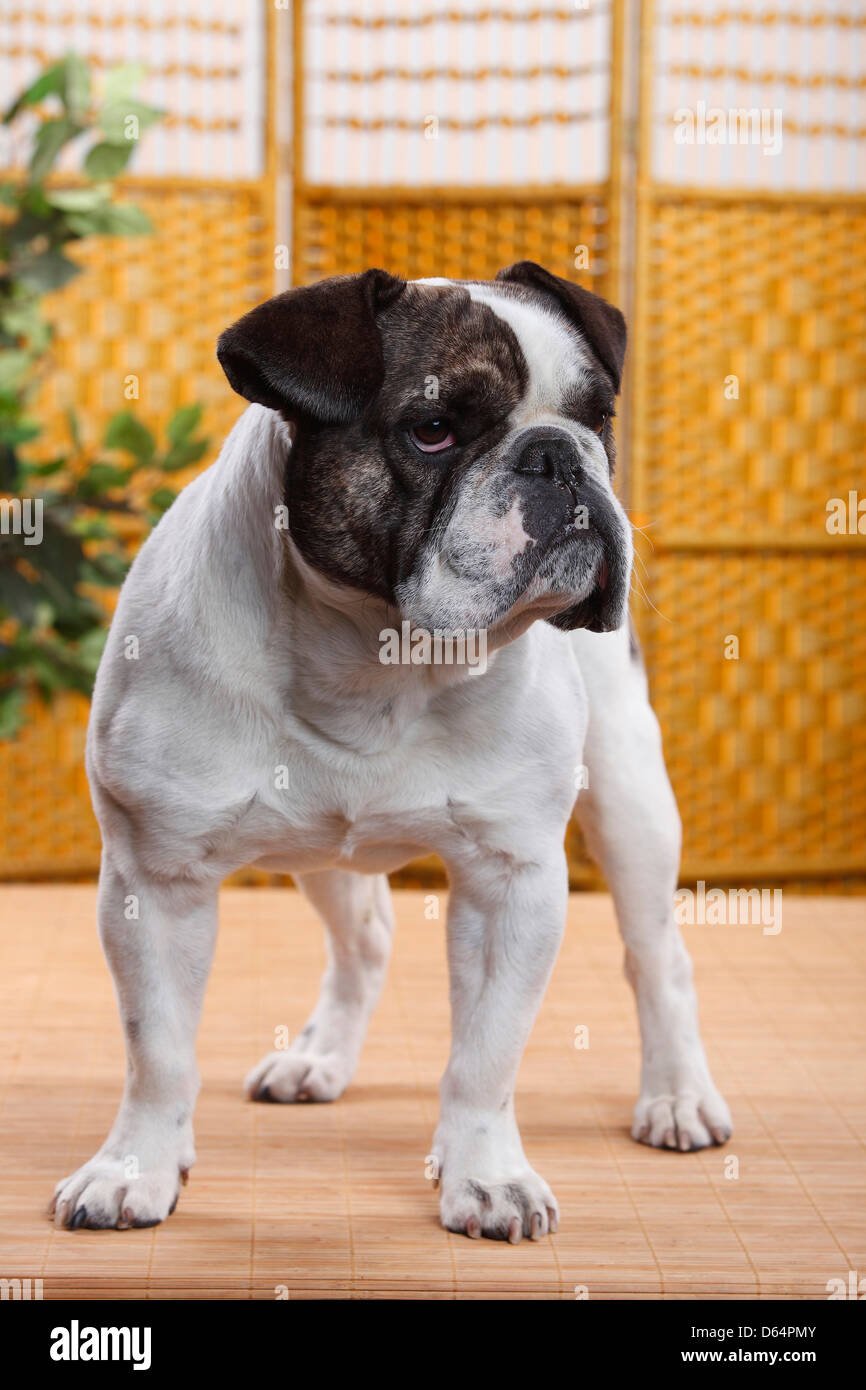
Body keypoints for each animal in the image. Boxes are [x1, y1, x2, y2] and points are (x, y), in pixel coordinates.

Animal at [48, 261, 733, 1239]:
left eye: (598, 416)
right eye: (433, 430)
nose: (558, 454)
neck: (377, 659)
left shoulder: (511, 880)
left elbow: (485, 1058)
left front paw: (487, 1176)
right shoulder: (157, 880)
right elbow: (158, 1049)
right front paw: (132, 1168)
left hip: (632, 800)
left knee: (657, 955)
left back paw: (677, 1095)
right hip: (318, 852)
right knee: (364, 938)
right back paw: (318, 1058)